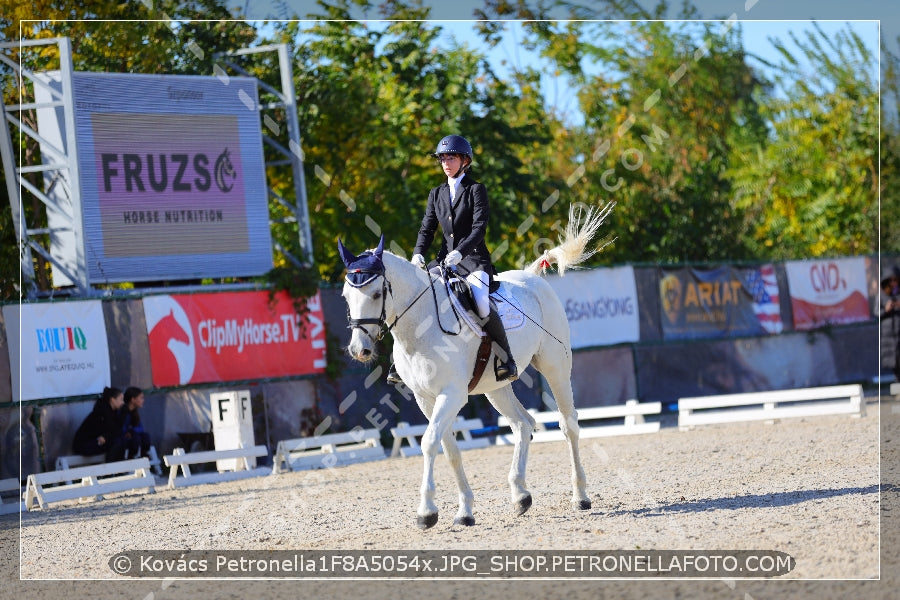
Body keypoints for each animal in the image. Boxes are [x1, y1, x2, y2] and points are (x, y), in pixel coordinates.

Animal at [342, 204, 616, 528]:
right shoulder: (425, 398)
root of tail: (531, 277)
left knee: (568, 425)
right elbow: (450, 449)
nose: (359, 350)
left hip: (555, 367)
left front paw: (426, 512)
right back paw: (520, 495)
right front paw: (464, 512)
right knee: (523, 424)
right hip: (495, 387)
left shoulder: (451, 394)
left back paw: (580, 496)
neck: (420, 325)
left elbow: (429, 442)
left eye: (375, 294)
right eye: (346, 297)